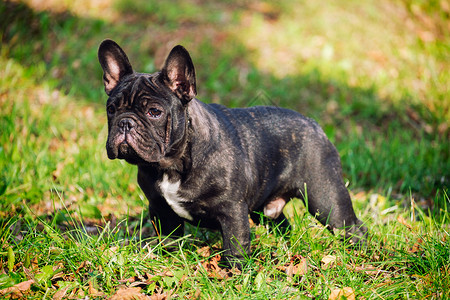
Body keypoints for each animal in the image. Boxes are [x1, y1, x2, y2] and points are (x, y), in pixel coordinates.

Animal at [97, 39, 366, 268]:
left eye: (154, 112)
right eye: (111, 109)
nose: (125, 123)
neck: (172, 165)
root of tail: (315, 125)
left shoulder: (232, 211)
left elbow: (235, 246)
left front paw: (234, 274)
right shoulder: (160, 209)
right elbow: (168, 239)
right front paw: (166, 260)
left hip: (325, 197)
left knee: (350, 226)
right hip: (266, 208)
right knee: (283, 224)